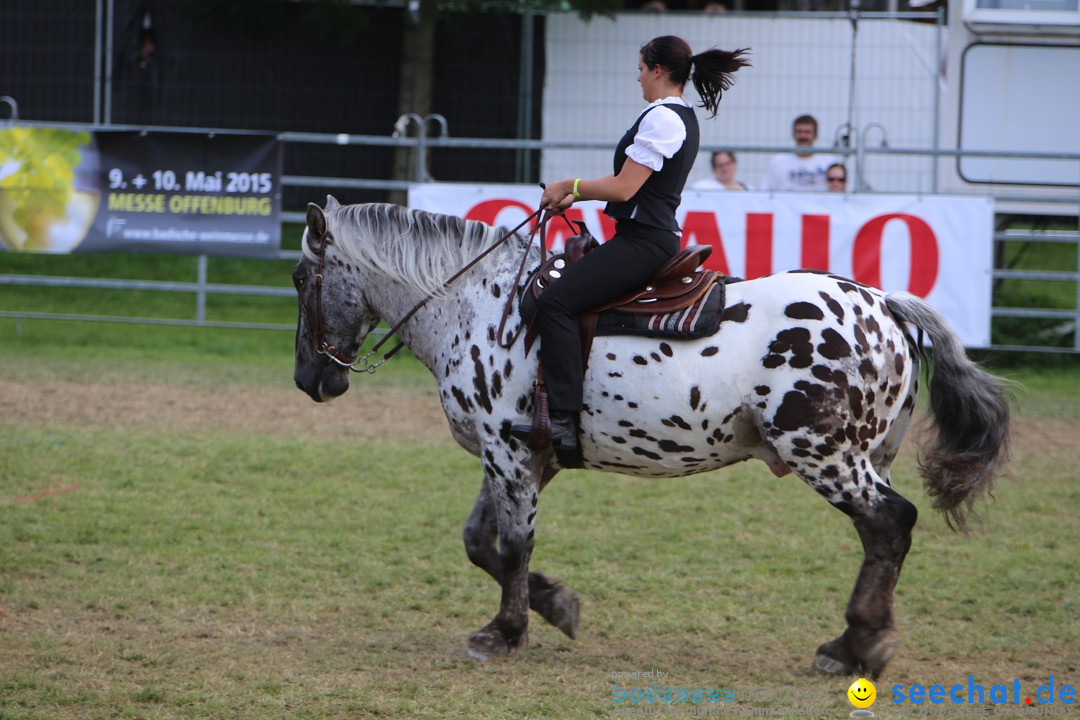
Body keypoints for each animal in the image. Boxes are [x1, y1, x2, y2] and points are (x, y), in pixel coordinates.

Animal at [291, 195, 1006, 677]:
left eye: (301, 278)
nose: (309, 379)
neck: (478, 307)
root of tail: (886, 305)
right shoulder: (518, 457)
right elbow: (479, 541)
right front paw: (556, 605)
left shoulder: (510, 452)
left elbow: (513, 545)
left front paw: (505, 631)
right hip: (862, 457)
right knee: (879, 539)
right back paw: (852, 644)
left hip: (825, 455)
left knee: (891, 523)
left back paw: (861, 646)